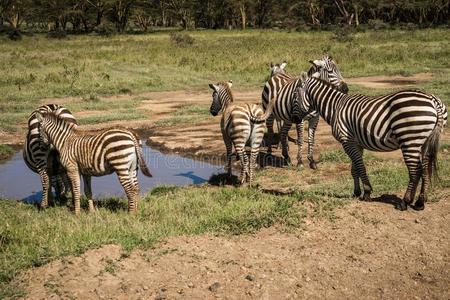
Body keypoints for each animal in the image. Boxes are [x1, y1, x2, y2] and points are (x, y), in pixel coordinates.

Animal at [294, 75, 448, 211]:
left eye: (295, 96)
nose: (295, 119)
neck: (335, 107)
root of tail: (433, 100)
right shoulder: (356, 143)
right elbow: (354, 169)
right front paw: (356, 192)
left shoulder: (346, 141)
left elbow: (360, 167)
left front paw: (367, 192)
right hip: (425, 142)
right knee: (426, 169)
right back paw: (420, 202)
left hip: (410, 140)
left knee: (416, 171)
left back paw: (405, 202)